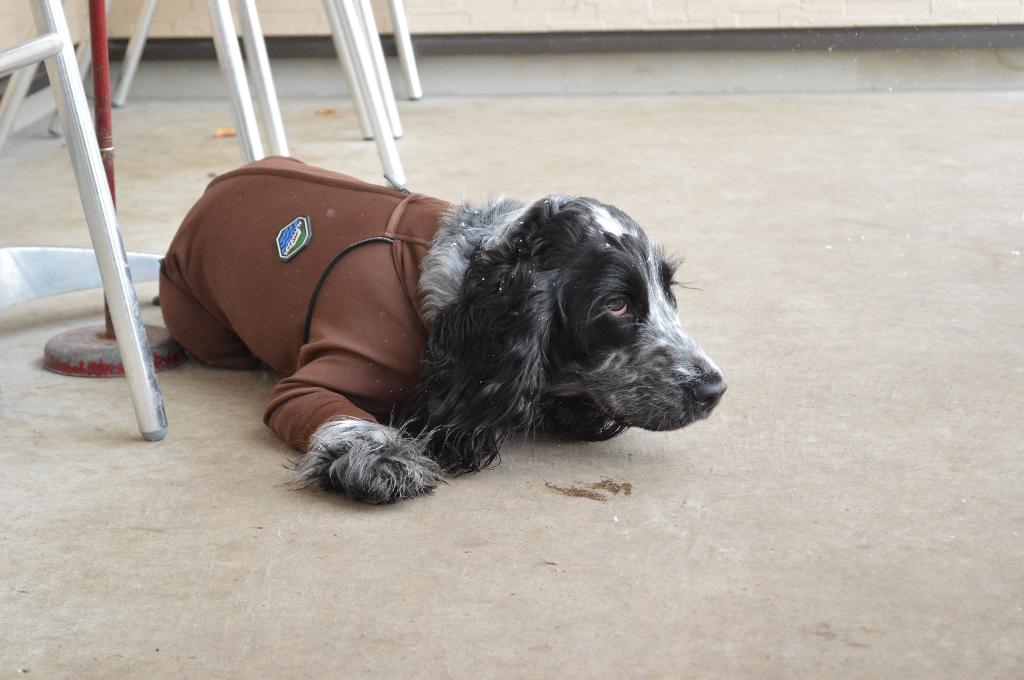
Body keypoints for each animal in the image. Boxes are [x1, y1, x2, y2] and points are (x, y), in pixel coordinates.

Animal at [160, 157, 725, 504]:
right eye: (616, 305)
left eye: (668, 291)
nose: (714, 389)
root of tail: (214, 186)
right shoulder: (310, 383)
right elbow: (345, 420)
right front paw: (383, 460)